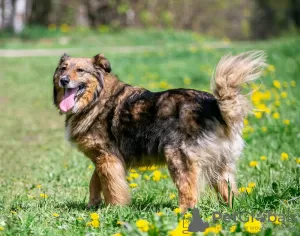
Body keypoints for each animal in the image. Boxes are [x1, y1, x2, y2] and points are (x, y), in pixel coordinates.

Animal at [52, 51, 264, 210]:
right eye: (63, 68)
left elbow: (112, 187)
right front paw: (92, 205)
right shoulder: (104, 158)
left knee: (189, 194)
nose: (63, 80)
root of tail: (214, 107)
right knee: (229, 192)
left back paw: (181, 214)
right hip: (221, 165)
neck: (96, 99)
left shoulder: (108, 158)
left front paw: (115, 209)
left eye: (80, 70)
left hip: (178, 158)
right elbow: (95, 182)